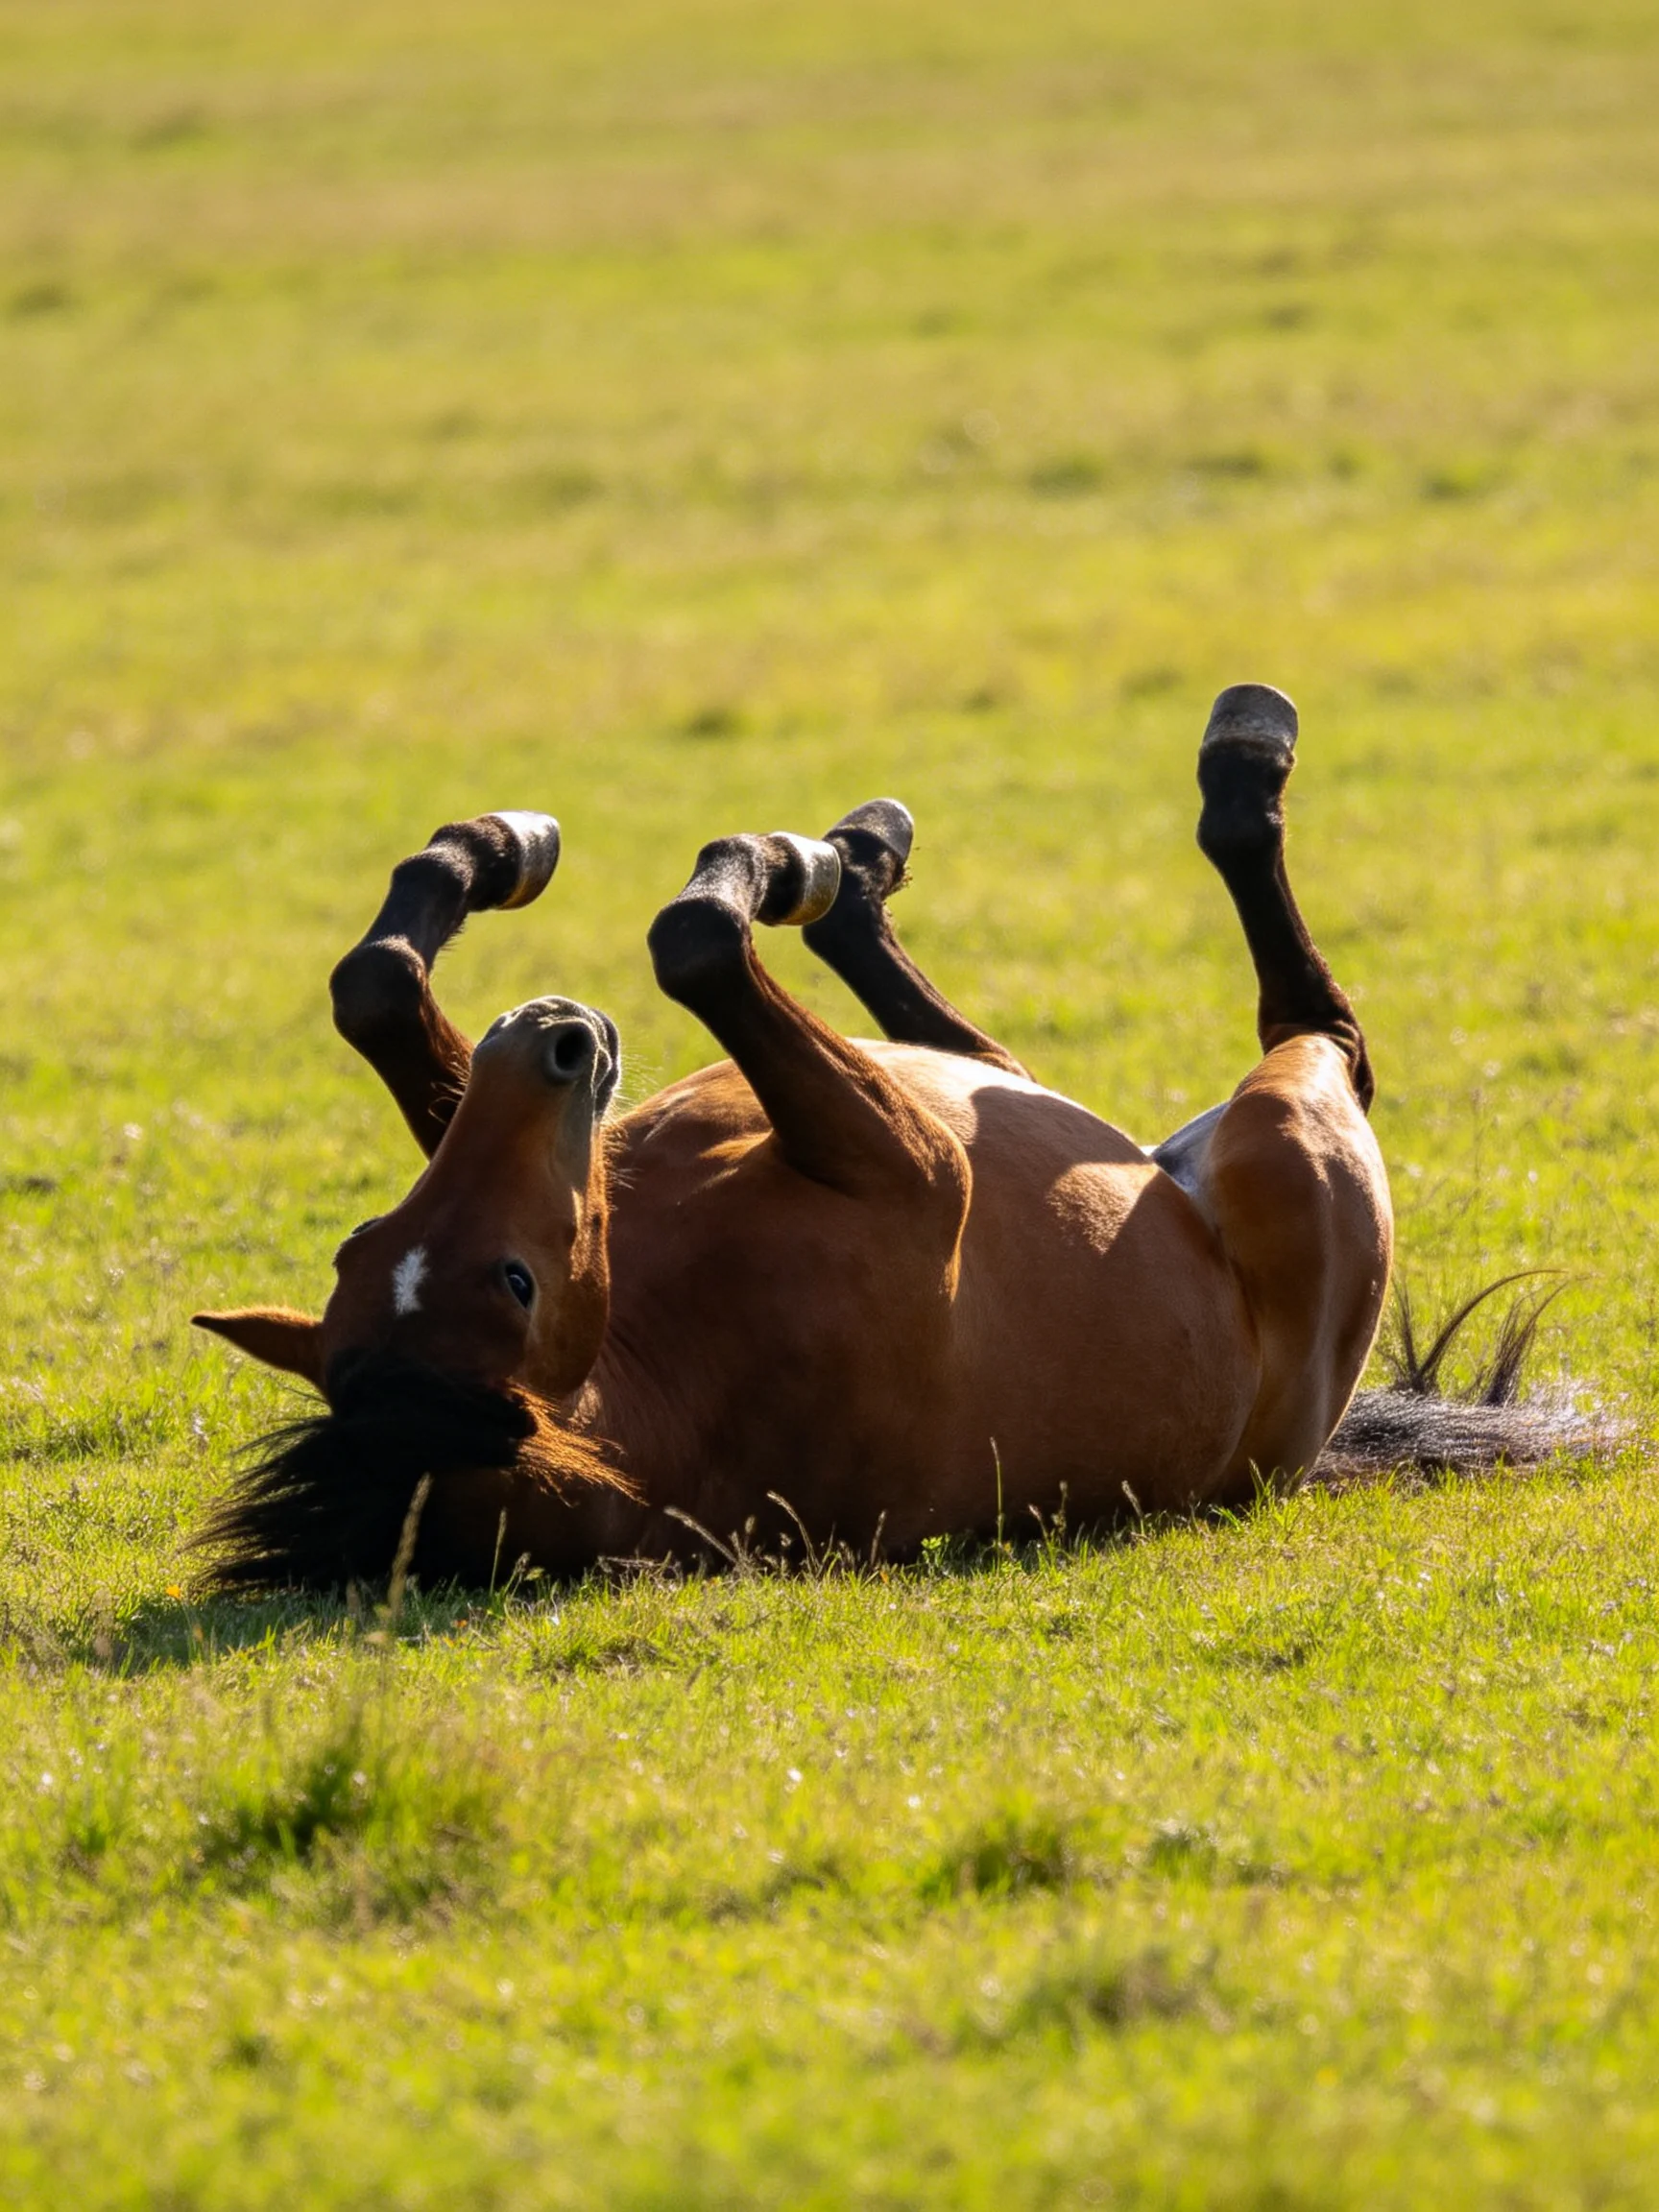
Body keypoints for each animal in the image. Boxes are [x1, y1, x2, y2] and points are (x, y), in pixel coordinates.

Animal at [191, 685, 1570, 1592]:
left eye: (363, 1244)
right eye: (517, 1287)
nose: (555, 1041)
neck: (679, 1363)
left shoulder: (573, 1143)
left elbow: (380, 992)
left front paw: (478, 855)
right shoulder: (914, 1159)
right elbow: (696, 941)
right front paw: (753, 866)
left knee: (972, 1037)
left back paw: (857, 859)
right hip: (1292, 1131)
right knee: (1323, 1025)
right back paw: (1227, 765)